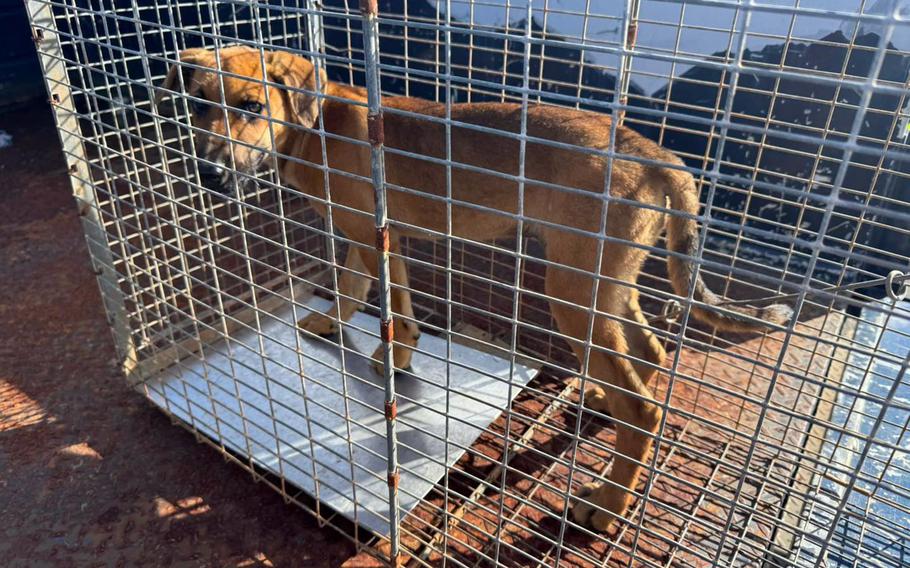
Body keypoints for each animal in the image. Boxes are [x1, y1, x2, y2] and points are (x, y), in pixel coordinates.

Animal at [157, 46, 792, 532]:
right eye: (198, 103)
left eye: (250, 106)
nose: (209, 175)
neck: (314, 127)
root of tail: (656, 154)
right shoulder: (363, 234)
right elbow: (352, 285)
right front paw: (331, 323)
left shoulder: (377, 234)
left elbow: (389, 302)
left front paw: (395, 354)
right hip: (607, 283)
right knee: (650, 354)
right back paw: (599, 405)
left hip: (572, 290)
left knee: (641, 406)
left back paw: (607, 506)